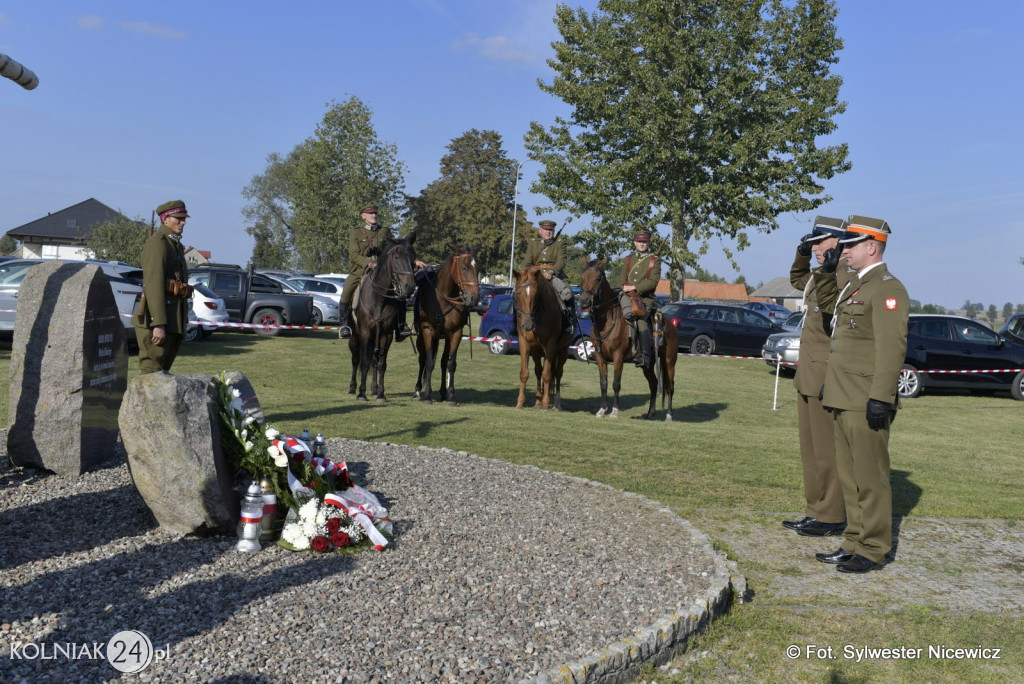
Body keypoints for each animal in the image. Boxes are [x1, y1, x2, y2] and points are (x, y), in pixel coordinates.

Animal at [350, 236, 417, 403]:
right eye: (396, 257)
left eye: (413, 258)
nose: (409, 287)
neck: (379, 299)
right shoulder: (365, 332)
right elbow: (364, 362)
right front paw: (361, 394)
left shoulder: (386, 335)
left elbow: (381, 364)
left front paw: (381, 394)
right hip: (354, 336)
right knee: (355, 359)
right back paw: (352, 387)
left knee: (374, 360)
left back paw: (374, 390)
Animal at [409, 245, 481, 403]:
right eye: (464, 267)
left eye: (478, 268)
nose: (474, 298)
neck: (443, 298)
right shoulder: (428, 330)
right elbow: (429, 362)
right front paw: (427, 395)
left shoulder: (455, 333)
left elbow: (450, 363)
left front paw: (451, 395)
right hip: (422, 337)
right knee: (422, 359)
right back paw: (417, 390)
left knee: (441, 362)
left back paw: (442, 393)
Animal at [512, 264, 577, 409]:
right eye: (518, 293)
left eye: (536, 294)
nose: (527, 325)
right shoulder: (524, 342)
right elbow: (525, 373)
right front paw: (520, 402)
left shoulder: (551, 344)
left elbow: (547, 375)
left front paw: (546, 404)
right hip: (536, 351)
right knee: (538, 371)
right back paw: (538, 401)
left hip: (562, 350)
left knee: (557, 373)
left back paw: (556, 404)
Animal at [577, 255, 679, 419]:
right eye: (582, 277)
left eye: (598, 278)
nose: (584, 301)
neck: (607, 320)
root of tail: (670, 325)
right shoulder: (600, 357)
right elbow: (603, 383)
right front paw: (602, 409)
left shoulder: (618, 357)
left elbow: (616, 384)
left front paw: (614, 411)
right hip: (648, 364)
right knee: (654, 384)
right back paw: (650, 413)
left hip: (669, 361)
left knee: (670, 385)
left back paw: (669, 415)